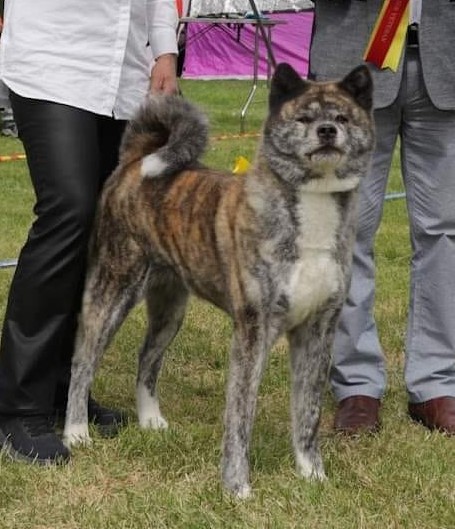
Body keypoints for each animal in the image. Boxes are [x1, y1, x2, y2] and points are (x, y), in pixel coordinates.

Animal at [66, 64, 376, 498]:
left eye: (344, 118)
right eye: (303, 118)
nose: (328, 131)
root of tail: (135, 162)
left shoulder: (317, 331)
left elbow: (308, 412)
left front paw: (313, 475)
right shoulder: (253, 332)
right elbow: (240, 416)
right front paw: (237, 488)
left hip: (170, 309)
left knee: (147, 359)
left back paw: (151, 421)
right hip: (113, 290)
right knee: (83, 361)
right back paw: (76, 433)